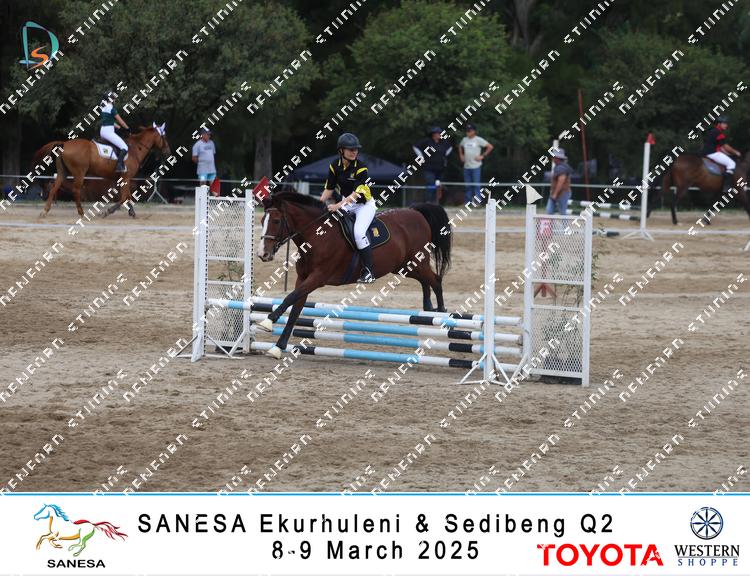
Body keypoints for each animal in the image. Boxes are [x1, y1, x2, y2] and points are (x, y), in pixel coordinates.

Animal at [40, 123, 171, 218]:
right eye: (163, 137)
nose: (168, 152)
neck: (135, 149)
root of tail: (64, 144)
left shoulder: (124, 179)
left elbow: (128, 196)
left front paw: (132, 212)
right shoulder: (126, 177)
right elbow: (124, 197)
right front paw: (107, 211)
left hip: (63, 172)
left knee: (54, 187)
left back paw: (45, 211)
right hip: (79, 173)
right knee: (76, 190)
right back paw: (81, 213)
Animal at [255, 192, 452, 358]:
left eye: (276, 221)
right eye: (262, 220)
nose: (262, 254)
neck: (317, 235)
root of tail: (415, 212)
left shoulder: (317, 278)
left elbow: (290, 297)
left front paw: (267, 321)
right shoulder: (303, 279)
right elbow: (295, 309)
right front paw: (278, 347)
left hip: (416, 262)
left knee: (436, 280)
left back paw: (441, 313)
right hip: (405, 267)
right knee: (427, 281)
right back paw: (428, 307)